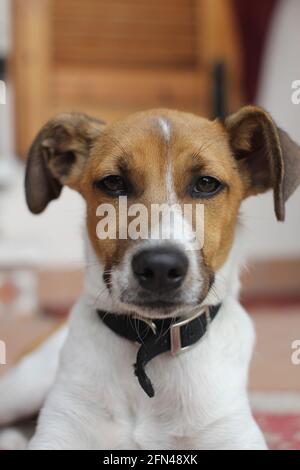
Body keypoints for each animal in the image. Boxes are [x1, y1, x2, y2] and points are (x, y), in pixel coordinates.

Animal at [0, 108, 298, 450]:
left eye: (206, 183)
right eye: (113, 182)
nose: (160, 267)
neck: (151, 344)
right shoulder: (61, 431)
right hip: (23, 387)